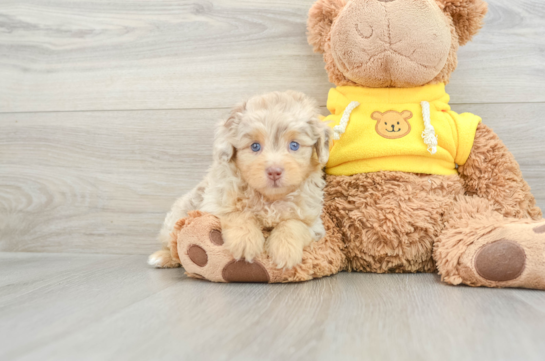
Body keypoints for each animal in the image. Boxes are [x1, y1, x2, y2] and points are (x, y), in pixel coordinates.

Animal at [147, 91, 330, 268]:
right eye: (255, 146)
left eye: (294, 145)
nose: (274, 172)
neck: (269, 199)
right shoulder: (215, 203)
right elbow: (238, 213)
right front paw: (245, 242)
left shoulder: (313, 222)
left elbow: (294, 224)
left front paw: (285, 251)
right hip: (177, 216)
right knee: (173, 242)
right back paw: (162, 257)